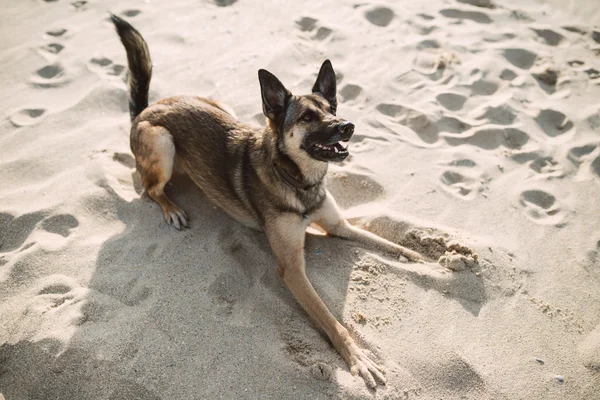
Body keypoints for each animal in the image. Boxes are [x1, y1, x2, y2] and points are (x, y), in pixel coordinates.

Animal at [111, 14, 422, 388]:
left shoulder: (339, 225)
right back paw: (171, 208)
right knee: (149, 188)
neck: (298, 178)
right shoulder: (292, 269)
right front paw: (359, 359)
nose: (347, 126)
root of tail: (148, 107)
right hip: (162, 141)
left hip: (218, 107)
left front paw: (424, 259)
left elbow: (383, 242)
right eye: (307, 117)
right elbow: (330, 320)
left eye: (333, 108)